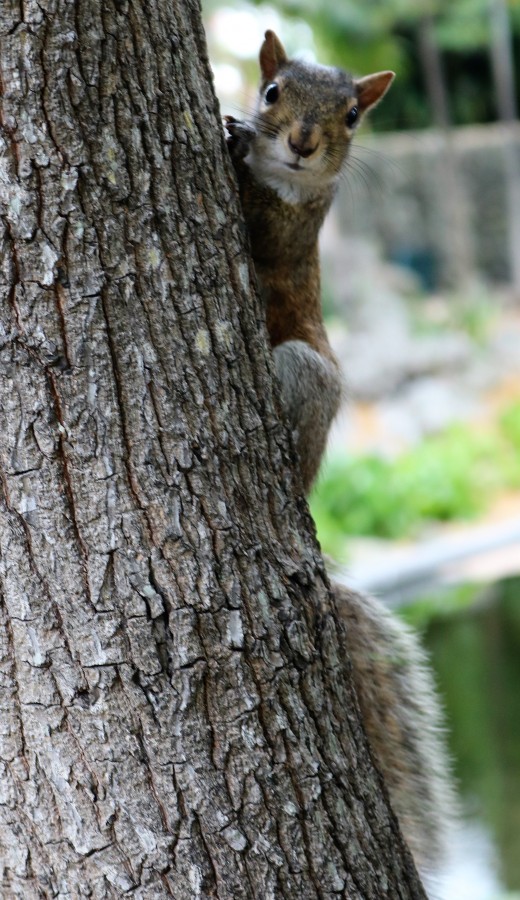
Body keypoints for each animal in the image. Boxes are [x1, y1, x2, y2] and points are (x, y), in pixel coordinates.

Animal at [225, 29, 452, 884]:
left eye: (353, 115)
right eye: (273, 90)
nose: (300, 142)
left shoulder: (292, 229)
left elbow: (263, 231)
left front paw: (229, 142)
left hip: (303, 378)